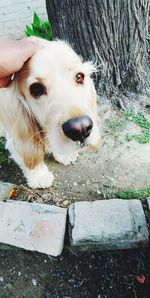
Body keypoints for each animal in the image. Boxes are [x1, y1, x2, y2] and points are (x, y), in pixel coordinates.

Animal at [0, 39, 101, 189]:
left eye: (79, 77)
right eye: (36, 89)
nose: (81, 129)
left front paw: (65, 155)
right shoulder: (15, 137)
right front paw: (39, 177)